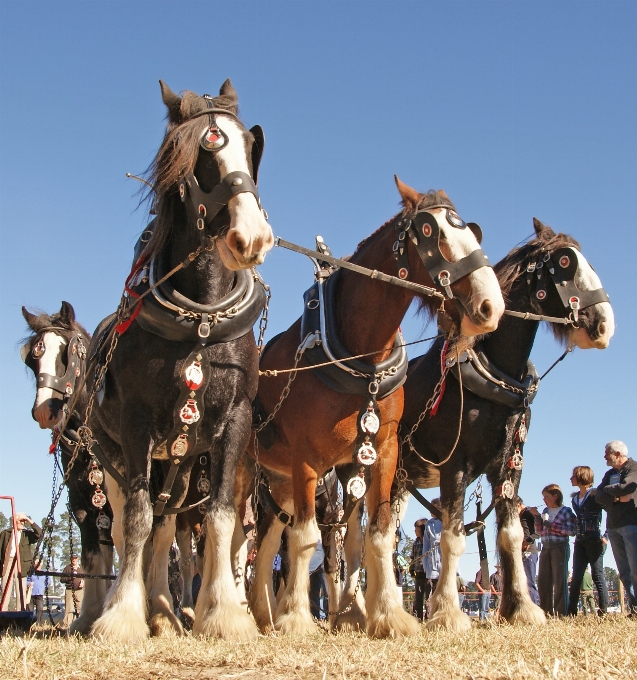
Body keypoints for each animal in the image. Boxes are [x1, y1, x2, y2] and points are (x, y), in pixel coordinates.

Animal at [20, 300, 115, 636]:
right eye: (31, 358)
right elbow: (93, 555)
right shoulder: (83, 504)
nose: (45, 411)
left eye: (67, 351)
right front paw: (88, 616)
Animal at [85, 81, 272, 644]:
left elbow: (220, 516)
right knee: (129, 521)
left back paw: (165, 611)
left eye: (250, 147)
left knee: (168, 522)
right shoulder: (136, 421)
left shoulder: (234, 420)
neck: (200, 323)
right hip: (115, 456)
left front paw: (224, 613)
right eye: (200, 154)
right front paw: (122, 617)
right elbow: (138, 521)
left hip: (181, 459)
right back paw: (134, 606)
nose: (252, 236)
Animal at [243, 177, 502, 636]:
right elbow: (307, 540)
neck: (361, 357)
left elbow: (375, 537)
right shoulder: (307, 460)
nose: (491, 307)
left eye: (473, 231)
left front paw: (385, 616)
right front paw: (298, 619)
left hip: (277, 481)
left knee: (269, 540)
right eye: (430, 233)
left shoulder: (380, 453)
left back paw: (262, 612)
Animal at [342, 216, 616, 632]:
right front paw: (448, 613)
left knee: (382, 536)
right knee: (350, 540)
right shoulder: (455, 465)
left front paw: (520, 608)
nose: (604, 324)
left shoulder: (508, 467)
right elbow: (452, 537)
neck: (494, 376)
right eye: (565, 262)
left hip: (397, 480)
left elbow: (511, 535)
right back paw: (351, 608)